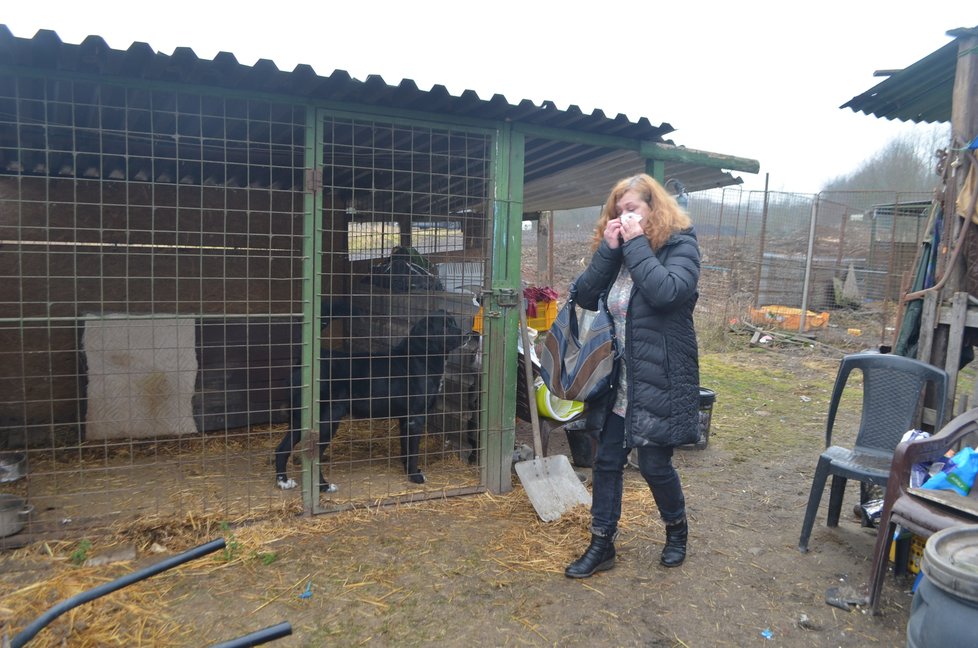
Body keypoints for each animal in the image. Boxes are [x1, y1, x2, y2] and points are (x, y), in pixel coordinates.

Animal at [272, 312, 468, 488]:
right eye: (445, 326)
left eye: (453, 322)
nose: (467, 335)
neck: (420, 356)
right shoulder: (416, 418)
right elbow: (413, 452)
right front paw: (415, 476)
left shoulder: (405, 419)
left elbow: (405, 450)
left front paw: (408, 471)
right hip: (326, 421)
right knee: (313, 456)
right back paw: (323, 487)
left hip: (299, 420)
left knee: (281, 449)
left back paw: (283, 482)